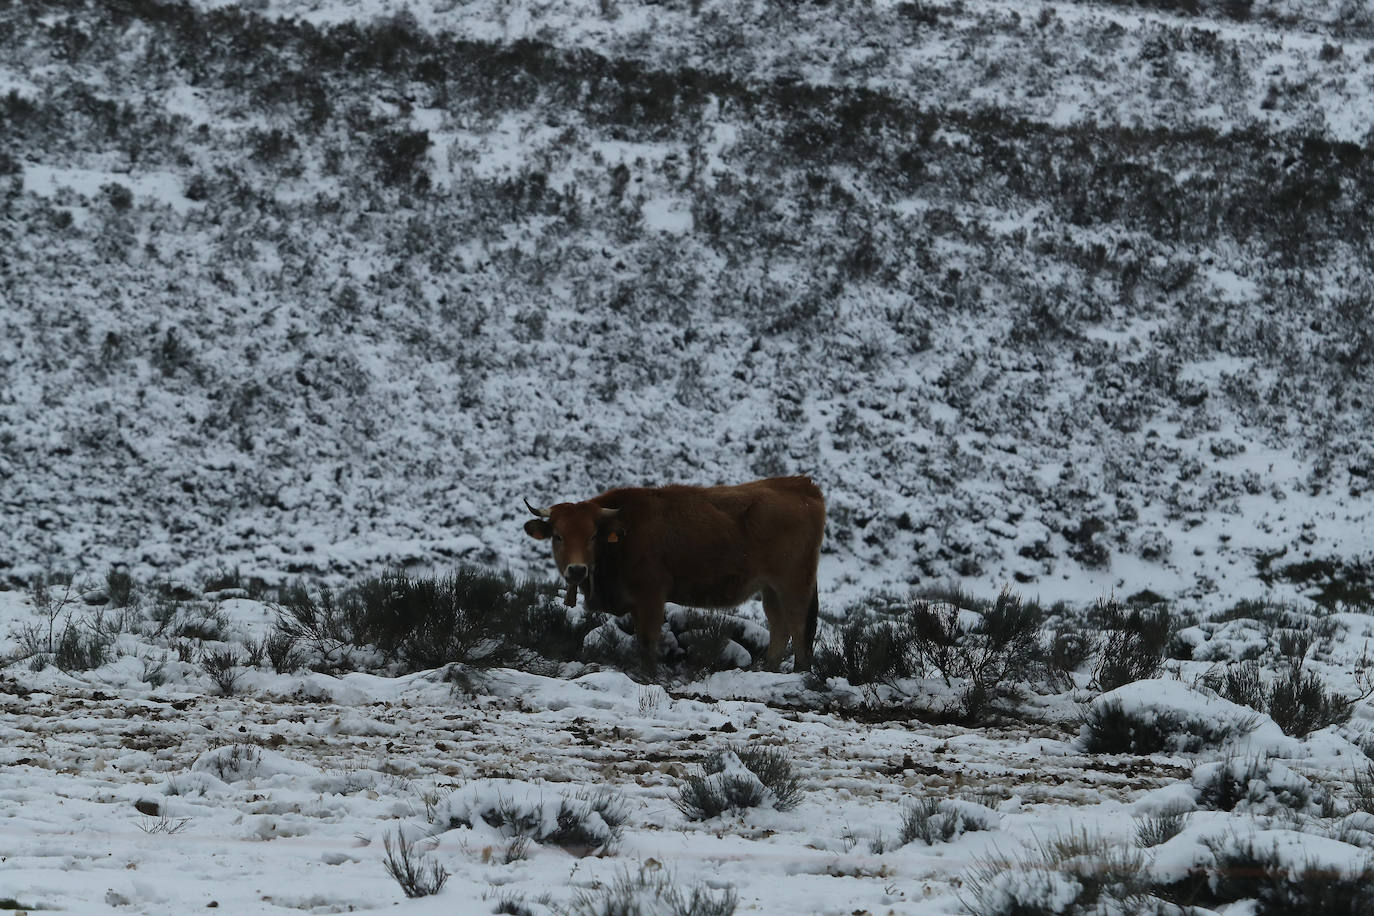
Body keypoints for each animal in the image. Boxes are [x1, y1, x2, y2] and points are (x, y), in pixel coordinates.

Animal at [522, 477, 824, 670]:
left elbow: (647, 639)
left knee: (798, 628)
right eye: (558, 536)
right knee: (779, 627)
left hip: (794, 585)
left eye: (592, 536)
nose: (576, 569)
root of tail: (802, 485)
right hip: (771, 589)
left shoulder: (651, 596)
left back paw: (800, 672)